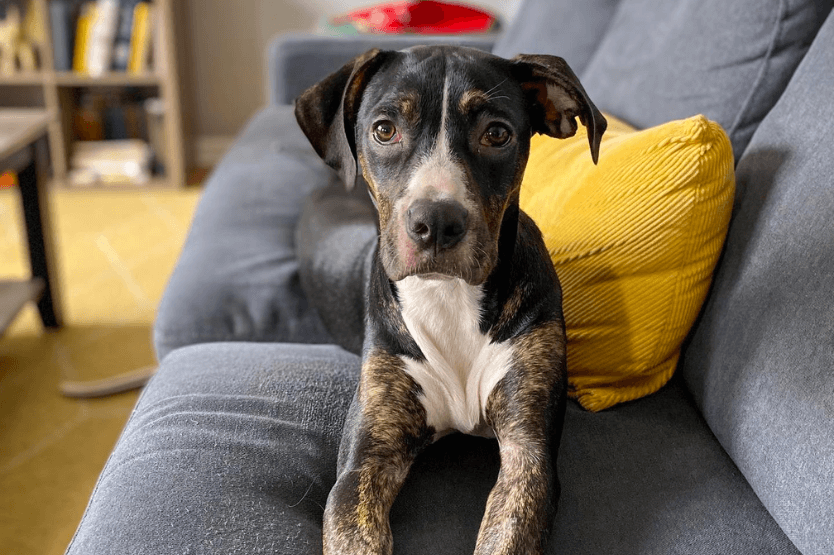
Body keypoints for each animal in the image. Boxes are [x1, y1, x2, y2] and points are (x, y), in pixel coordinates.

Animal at [294, 44, 604, 555]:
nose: (436, 222)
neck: (447, 294)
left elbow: (508, 526)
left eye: (496, 133)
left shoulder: (528, 451)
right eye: (384, 129)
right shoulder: (362, 463)